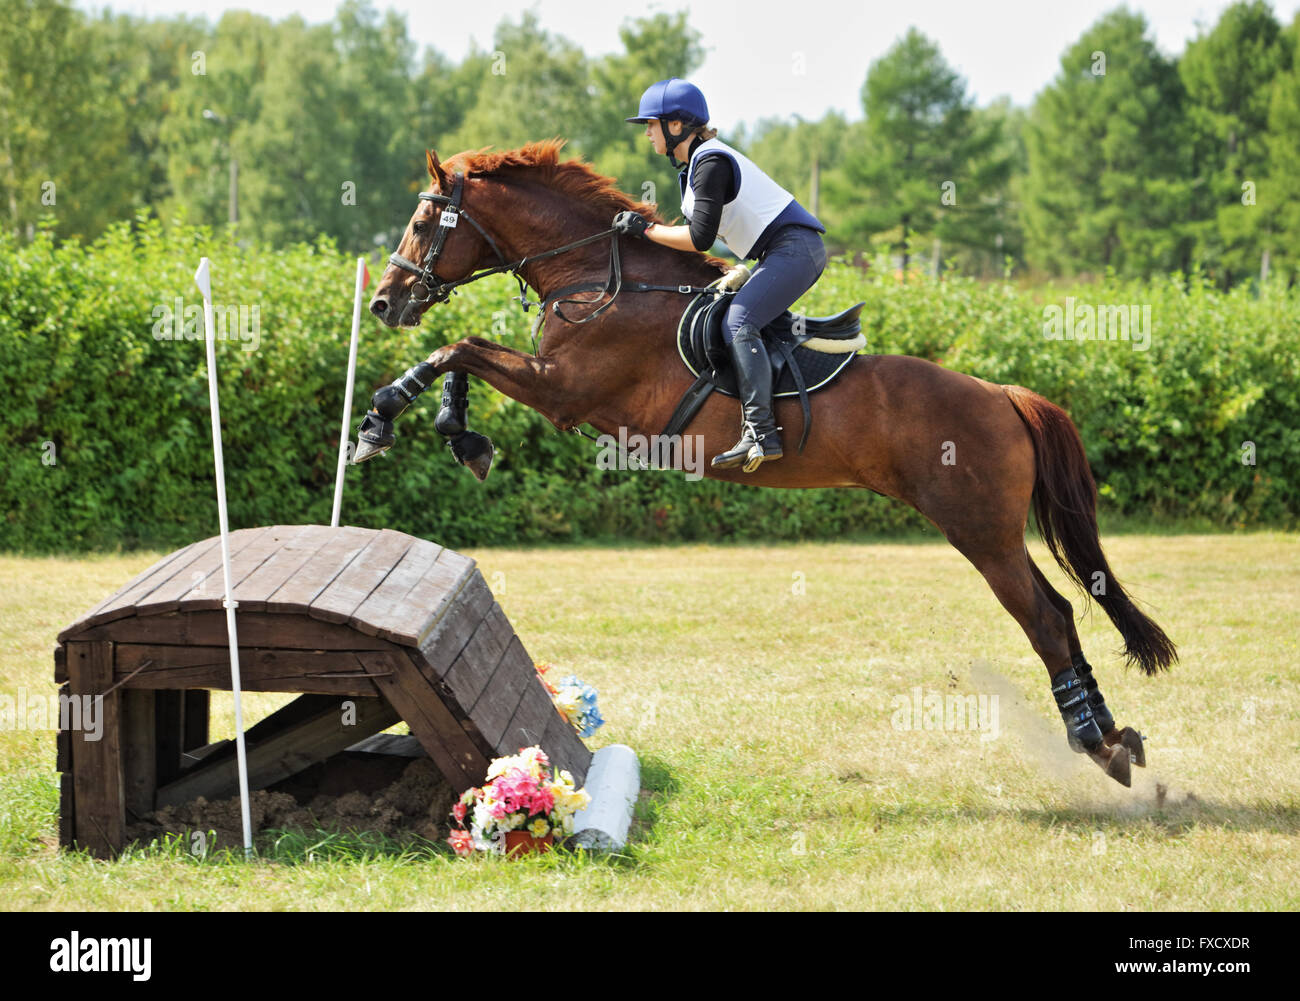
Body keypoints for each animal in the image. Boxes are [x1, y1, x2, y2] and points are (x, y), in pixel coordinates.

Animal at [356, 136, 1180, 785]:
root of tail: (1003, 394)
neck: (597, 276)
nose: (385, 302)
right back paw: (1115, 737)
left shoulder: (564, 389)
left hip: (979, 530)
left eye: (424, 221)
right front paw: (453, 435)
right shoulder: (555, 384)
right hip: (991, 530)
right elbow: (459, 355)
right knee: (1063, 611)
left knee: (1043, 616)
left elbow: (456, 347)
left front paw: (384, 420)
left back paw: (1093, 742)